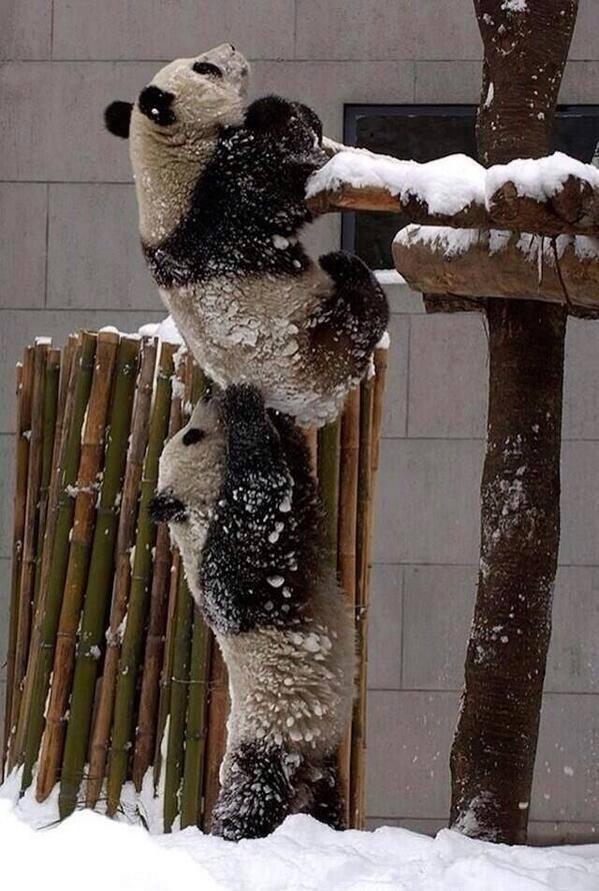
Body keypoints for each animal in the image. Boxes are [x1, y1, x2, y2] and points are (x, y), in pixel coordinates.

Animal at [104, 44, 388, 426]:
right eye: (205, 68)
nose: (232, 47)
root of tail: (311, 410)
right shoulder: (222, 197)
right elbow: (283, 169)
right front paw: (276, 110)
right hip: (320, 341)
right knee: (362, 314)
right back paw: (347, 268)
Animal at [150, 383, 355, 840]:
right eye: (191, 435)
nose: (209, 394)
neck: (193, 512)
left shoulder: (300, 515)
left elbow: (297, 480)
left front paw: (278, 417)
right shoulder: (227, 565)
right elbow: (259, 506)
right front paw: (245, 405)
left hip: (319, 756)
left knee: (325, 801)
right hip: (267, 738)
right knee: (250, 799)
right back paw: (232, 834)